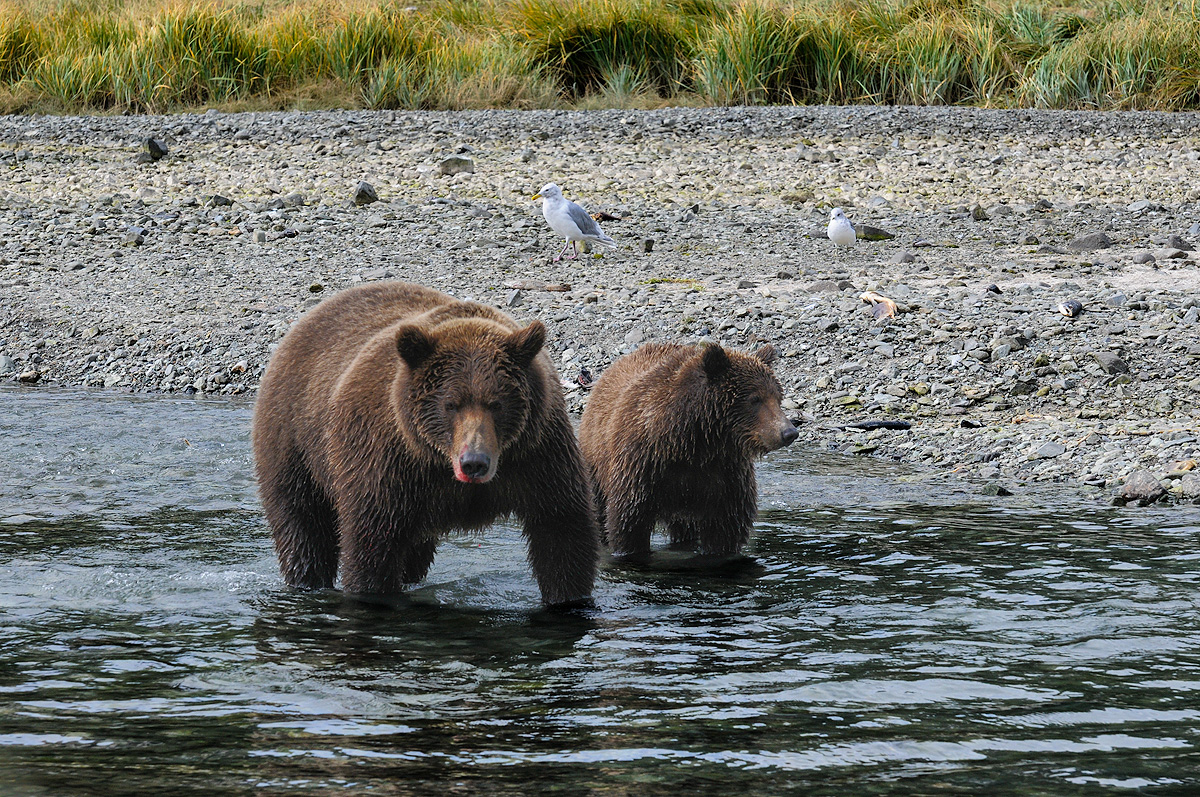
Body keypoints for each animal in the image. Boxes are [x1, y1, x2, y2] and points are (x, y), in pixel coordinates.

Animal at [258, 283, 604, 607]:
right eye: (451, 404)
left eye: (496, 403)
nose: (474, 462)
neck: (440, 462)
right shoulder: (386, 462)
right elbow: (371, 544)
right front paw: (371, 592)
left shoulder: (536, 455)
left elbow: (560, 530)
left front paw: (568, 599)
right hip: (295, 439)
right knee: (302, 522)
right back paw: (306, 579)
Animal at [578, 343, 796, 559]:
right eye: (755, 398)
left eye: (778, 397)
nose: (789, 432)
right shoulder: (641, 468)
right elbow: (629, 523)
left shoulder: (726, 475)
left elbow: (726, 528)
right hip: (596, 462)